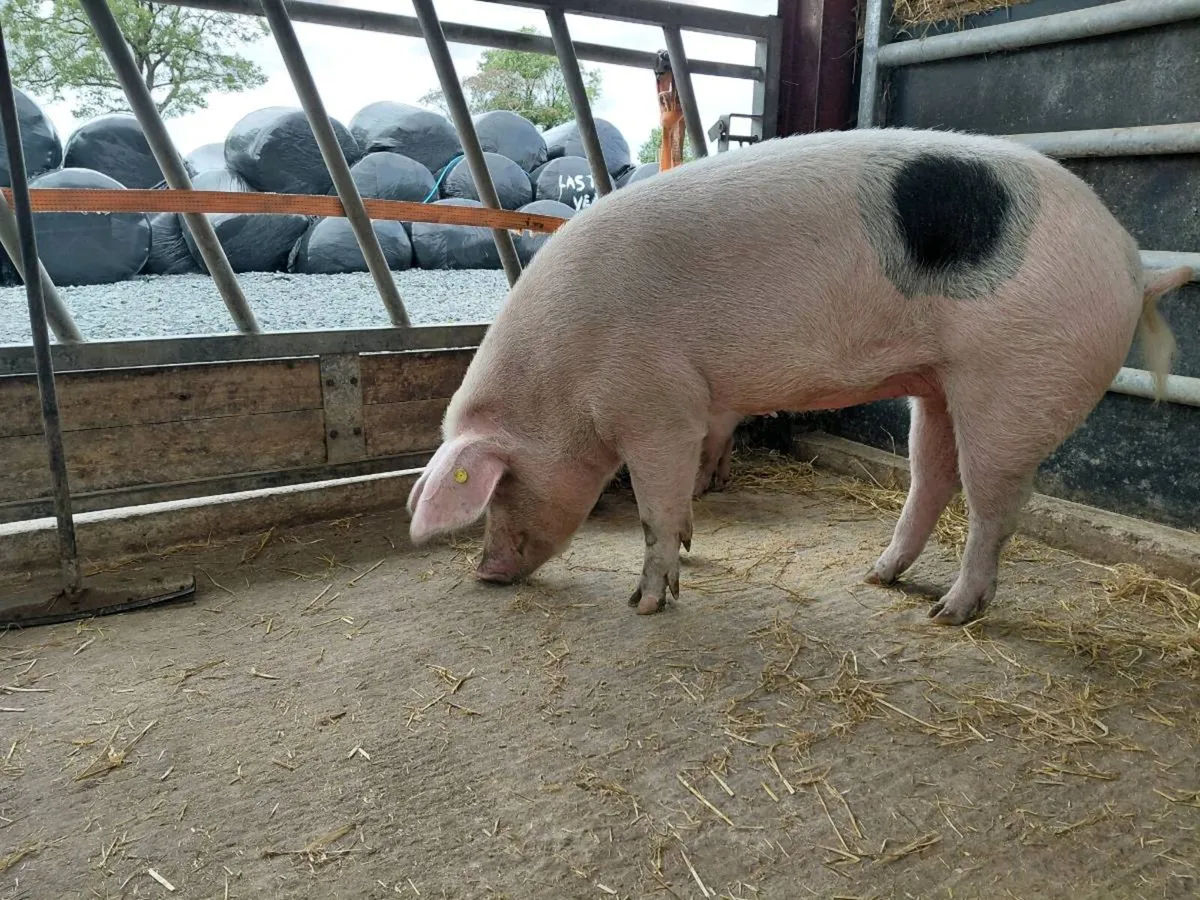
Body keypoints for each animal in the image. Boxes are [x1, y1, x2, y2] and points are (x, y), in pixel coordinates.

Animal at [406, 127, 1192, 625]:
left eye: (499, 486)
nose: (484, 571)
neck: (561, 381)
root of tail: (1133, 265)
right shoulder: (692, 410)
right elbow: (681, 499)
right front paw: (690, 547)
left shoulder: (658, 407)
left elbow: (655, 508)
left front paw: (648, 603)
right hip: (938, 382)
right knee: (932, 478)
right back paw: (878, 575)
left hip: (1015, 381)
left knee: (995, 504)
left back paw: (951, 613)